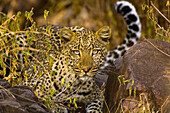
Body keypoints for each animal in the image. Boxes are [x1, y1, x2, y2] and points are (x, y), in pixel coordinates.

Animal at [0, 0, 141, 112]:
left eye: (95, 52)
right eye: (76, 52)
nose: (86, 69)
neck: (74, 83)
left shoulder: (97, 96)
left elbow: (95, 108)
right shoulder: (33, 87)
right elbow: (48, 100)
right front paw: (59, 107)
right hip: (19, 42)